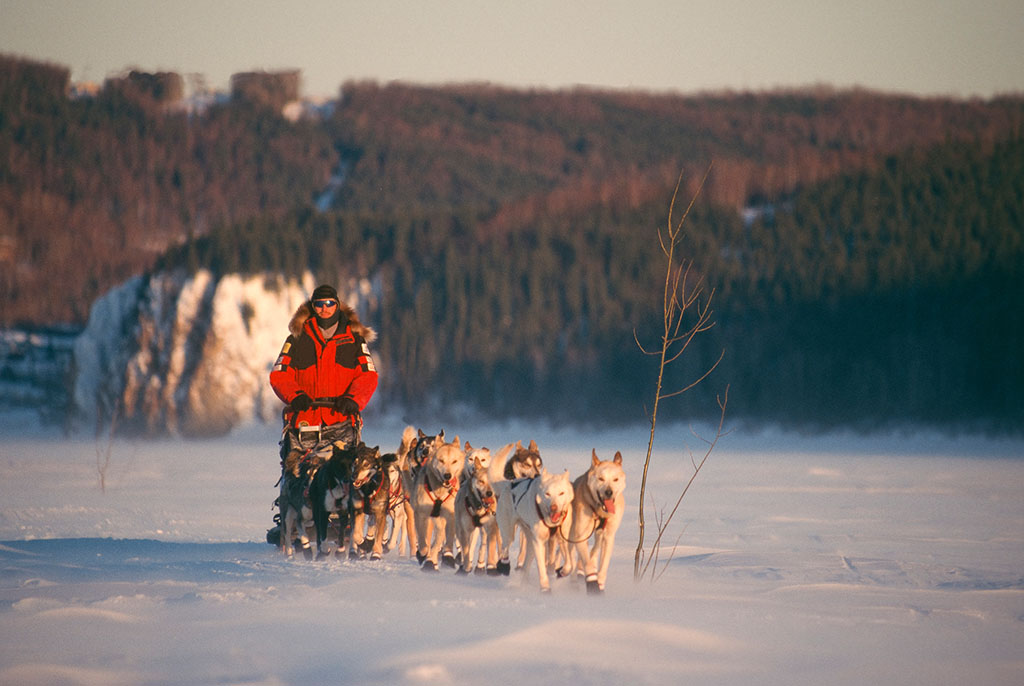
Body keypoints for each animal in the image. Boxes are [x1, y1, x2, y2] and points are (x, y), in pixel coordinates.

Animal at [569, 448, 622, 593]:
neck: (599, 510)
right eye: (601, 478)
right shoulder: (580, 535)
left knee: (594, 550)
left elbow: (602, 565)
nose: (609, 492)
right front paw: (592, 583)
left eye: (615, 479)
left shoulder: (608, 536)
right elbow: (587, 563)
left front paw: (600, 584)